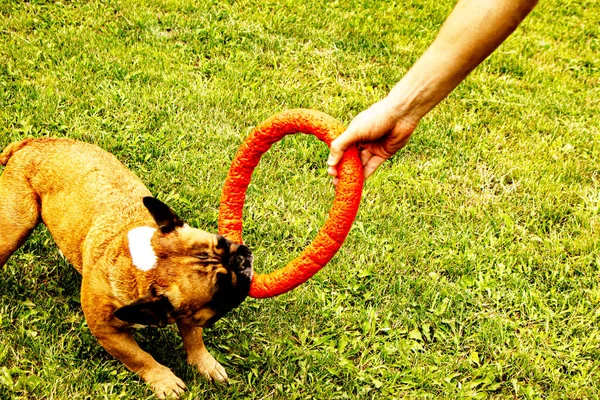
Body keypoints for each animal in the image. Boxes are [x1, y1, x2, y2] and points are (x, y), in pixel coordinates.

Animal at [0, 138, 253, 396]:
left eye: (222, 242)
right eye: (222, 290)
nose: (243, 258)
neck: (143, 264)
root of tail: (31, 143)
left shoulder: (186, 313)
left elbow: (194, 337)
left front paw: (205, 363)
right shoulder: (108, 332)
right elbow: (139, 358)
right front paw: (164, 380)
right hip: (13, 231)